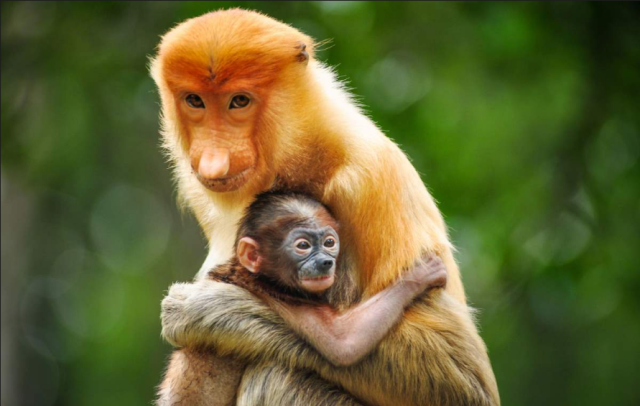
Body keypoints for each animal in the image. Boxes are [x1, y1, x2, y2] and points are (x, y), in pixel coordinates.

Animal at [161, 191, 449, 405]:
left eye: (330, 242)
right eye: (303, 246)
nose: (326, 262)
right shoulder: (281, 294)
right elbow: (343, 343)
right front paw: (419, 277)